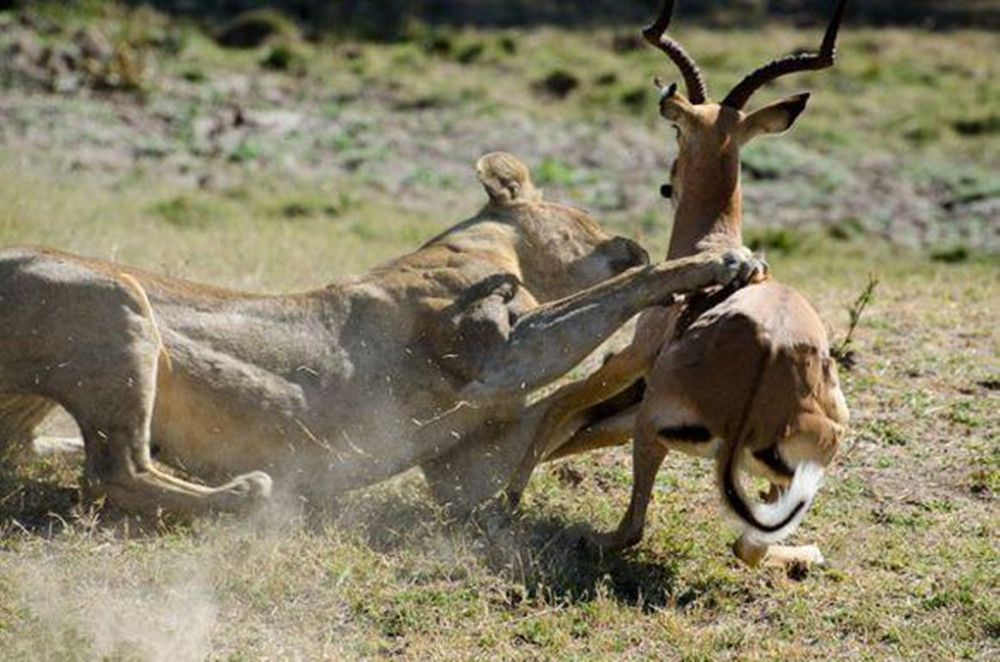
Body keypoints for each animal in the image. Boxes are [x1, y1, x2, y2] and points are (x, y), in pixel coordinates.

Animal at [508, 0, 852, 572]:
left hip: (651, 424)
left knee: (631, 528)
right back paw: (807, 554)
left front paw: (509, 496)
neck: (712, 240)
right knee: (749, 544)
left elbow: (558, 407)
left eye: (677, 133)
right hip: (798, 465)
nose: (669, 182)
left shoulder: (630, 358)